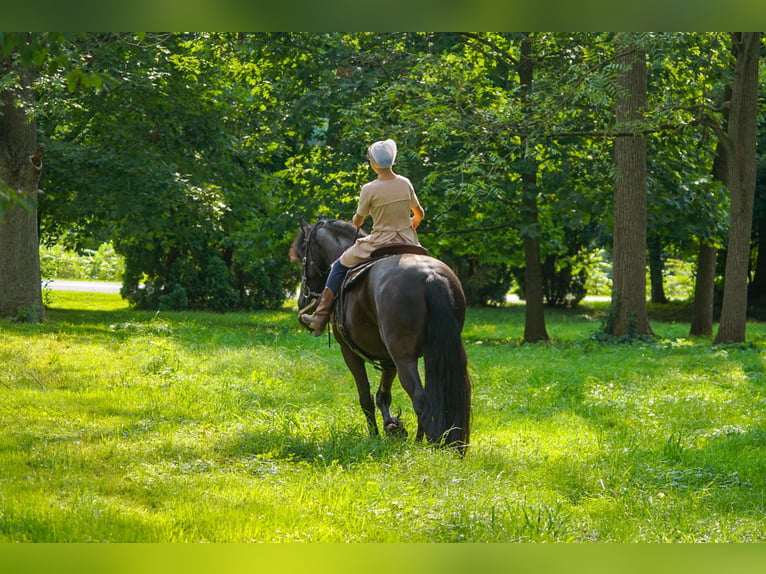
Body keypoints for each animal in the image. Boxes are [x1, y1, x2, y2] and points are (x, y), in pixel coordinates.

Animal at [290, 218, 472, 452]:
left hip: (404, 359)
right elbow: (383, 396)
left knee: (420, 399)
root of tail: (431, 275)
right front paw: (392, 426)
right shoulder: (388, 360)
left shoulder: (350, 353)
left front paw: (375, 435)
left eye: (302, 252)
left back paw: (423, 444)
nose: (302, 300)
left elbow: (366, 397)